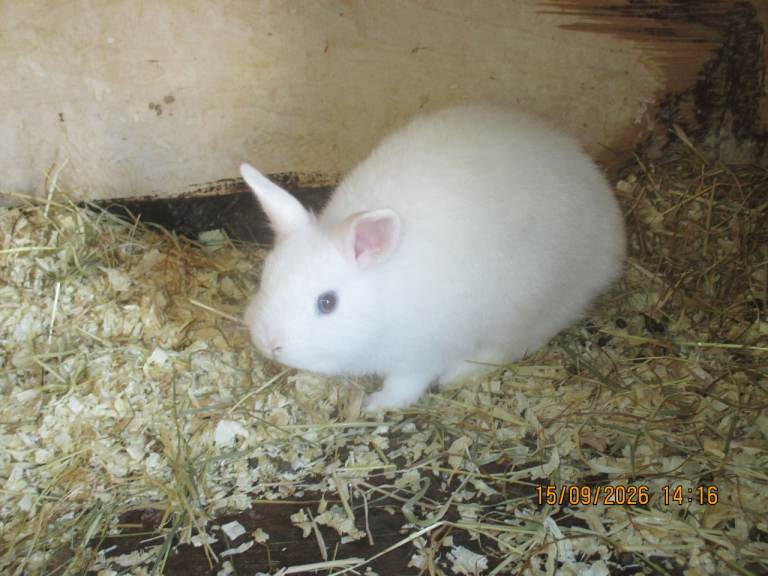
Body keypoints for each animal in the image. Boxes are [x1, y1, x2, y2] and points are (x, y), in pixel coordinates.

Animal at [240, 105, 626, 411]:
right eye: (265, 278)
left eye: (327, 302)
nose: (270, 343)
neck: (383, 295)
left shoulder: (421, 352)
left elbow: (406, 384)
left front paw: (377, 405)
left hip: (525, 304)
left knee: (514, 344)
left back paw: (459, 373)